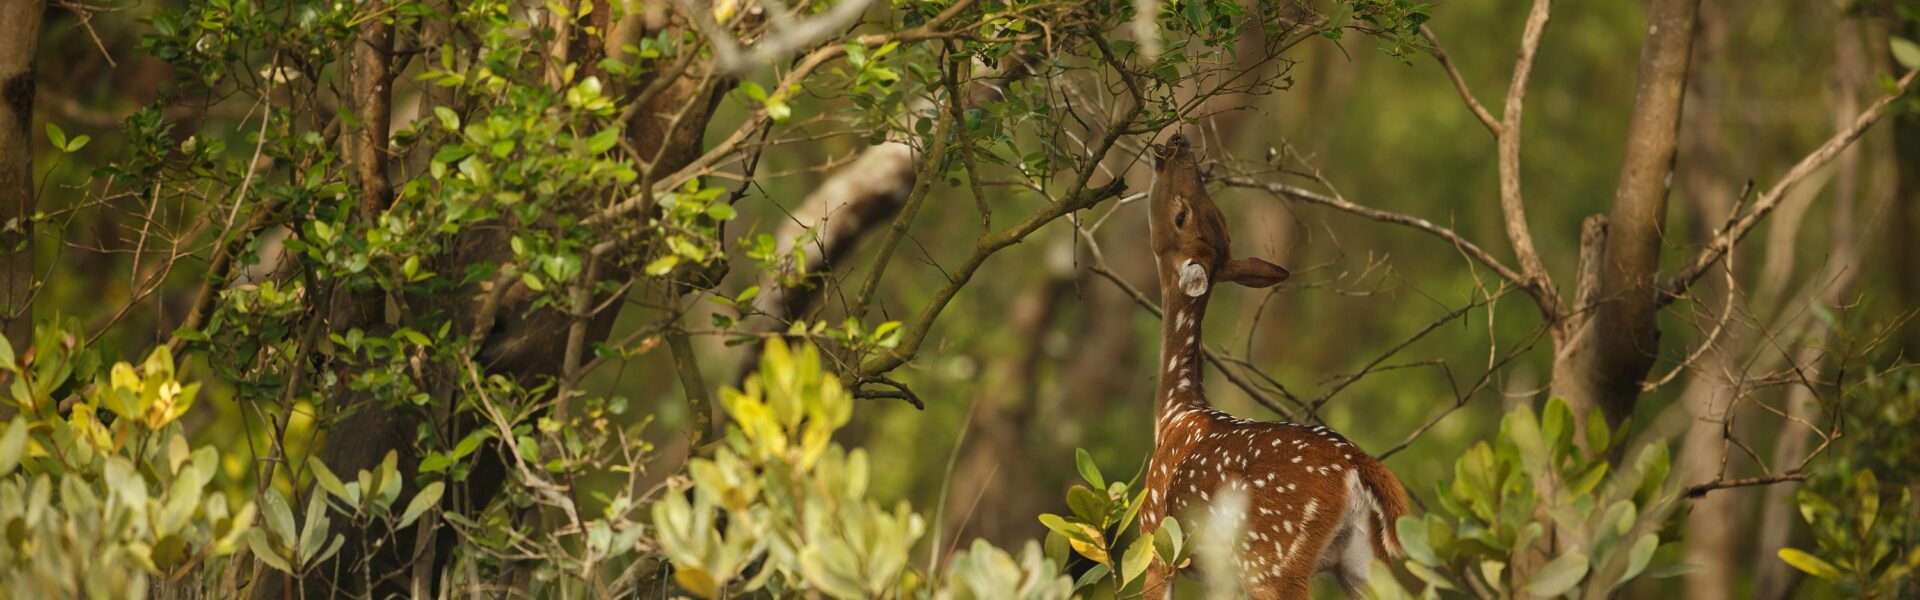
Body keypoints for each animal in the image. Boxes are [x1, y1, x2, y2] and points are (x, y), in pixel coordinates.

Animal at [1136, 133, 1413, 596]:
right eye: (1213, 209)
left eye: (1180, 215)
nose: (1178, 141)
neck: (1174, 415)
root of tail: (1359, 469)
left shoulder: (1154, 538)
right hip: (1360, 560)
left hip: (1272, 558)